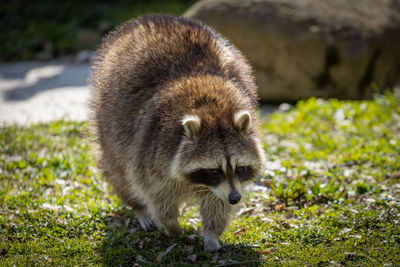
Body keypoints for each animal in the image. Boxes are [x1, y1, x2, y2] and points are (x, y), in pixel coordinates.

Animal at [90, 14, 266, 253]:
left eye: (240, 168)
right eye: (214, 170)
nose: (235, 198)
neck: (212, 109)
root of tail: (149, 18)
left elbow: (217, 204)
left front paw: (211, 234)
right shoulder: (152, 147)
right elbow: (155, 193)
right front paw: (171, 226)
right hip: (109, 119)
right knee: (121, 172)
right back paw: (138, 208)